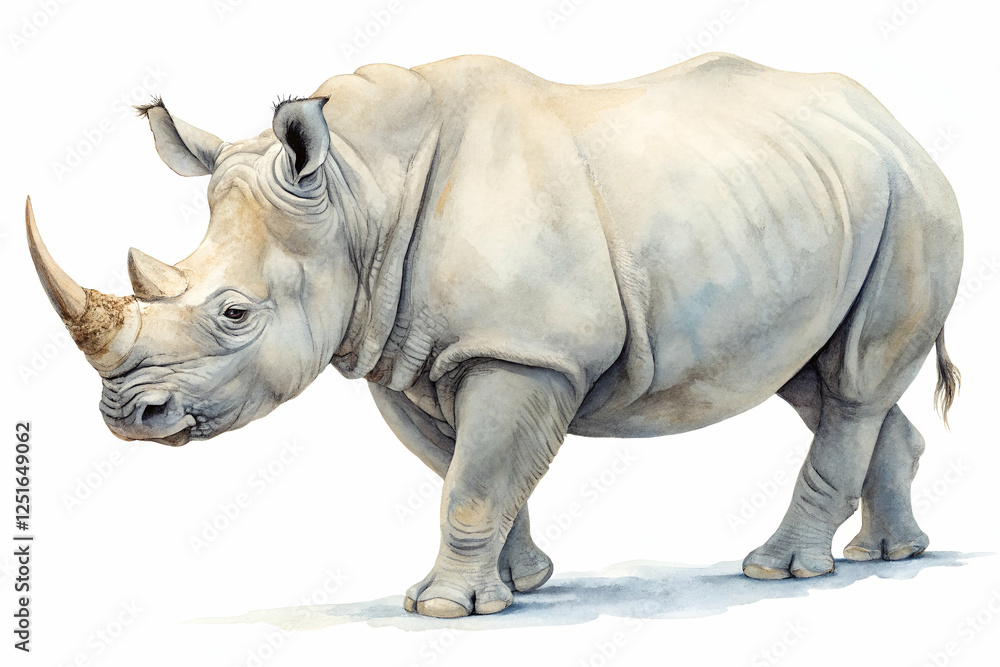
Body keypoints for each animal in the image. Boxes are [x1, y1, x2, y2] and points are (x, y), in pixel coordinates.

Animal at [27, 53, 963, 618]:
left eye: (234, 314)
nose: (127, 415)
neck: (358, 194)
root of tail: (896, 125)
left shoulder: (525, 351)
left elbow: (475, 482)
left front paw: (443, 610)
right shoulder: (402, 353)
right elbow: (467, 471)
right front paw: (519, 585)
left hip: (912, 201)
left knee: (850, 386)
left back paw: (779, 569)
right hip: (821, 198)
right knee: (818, 380)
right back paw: (887, 555)